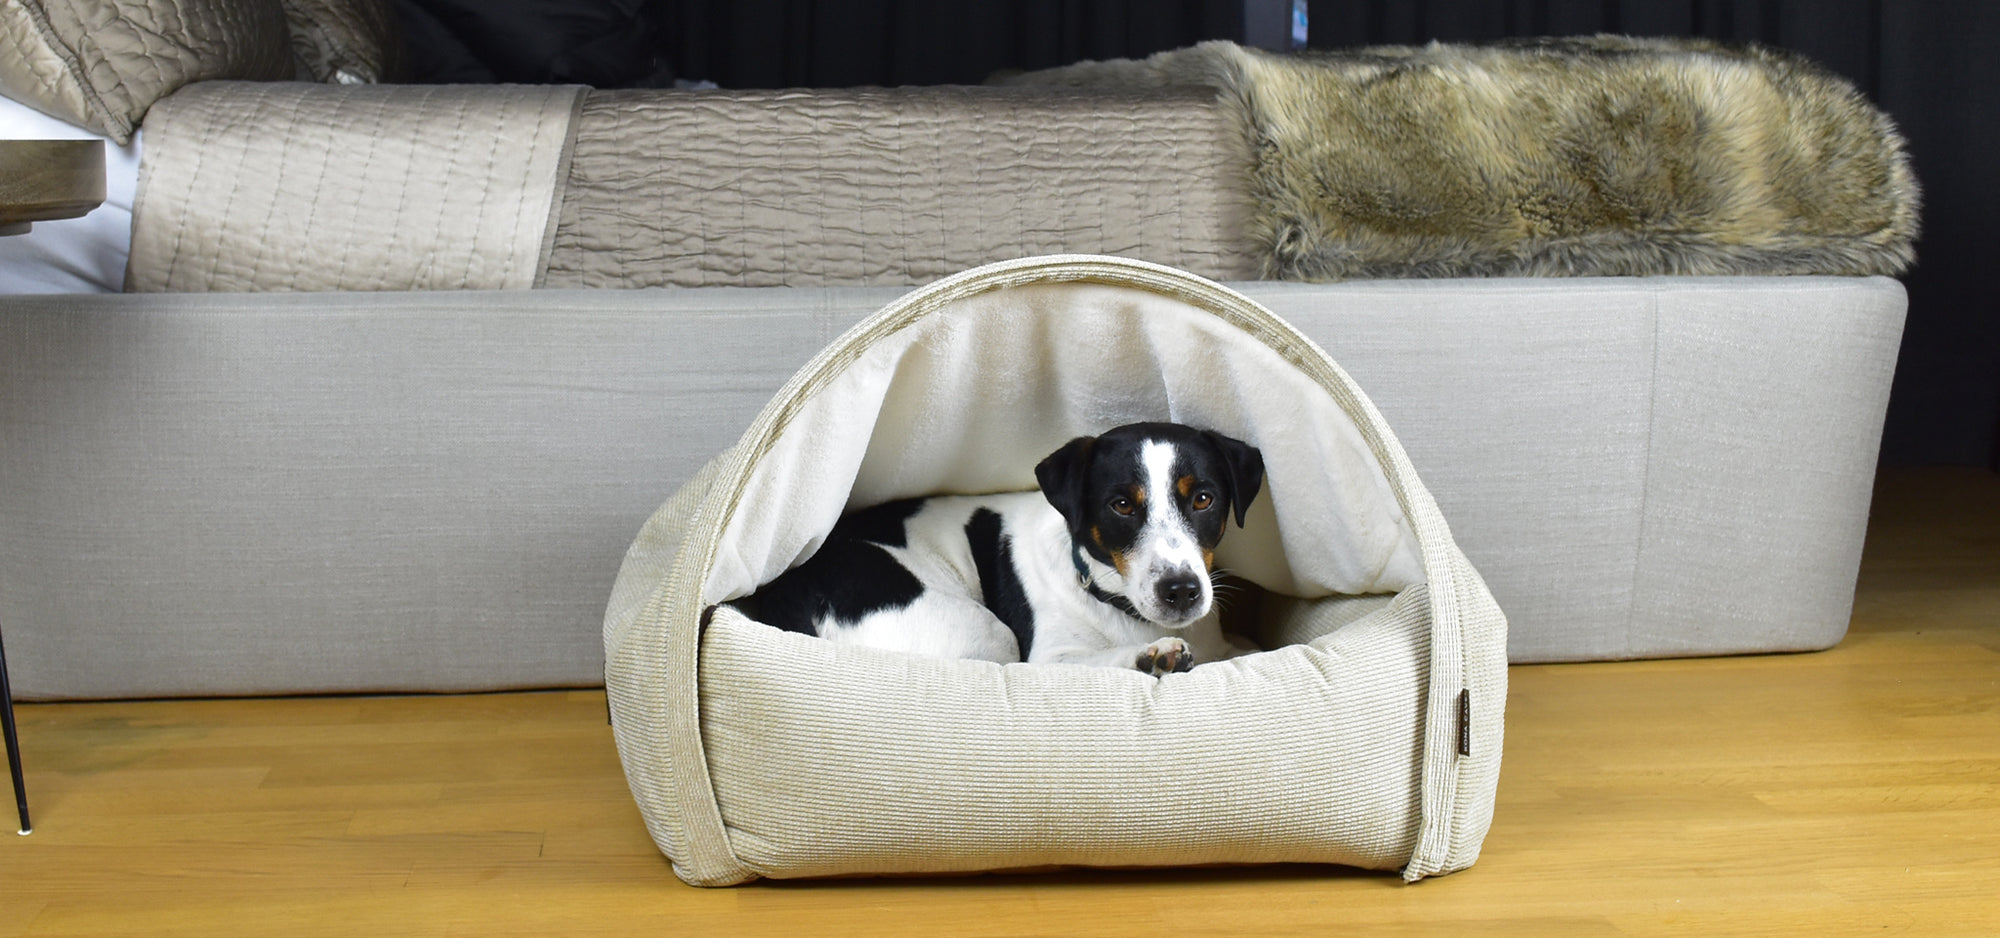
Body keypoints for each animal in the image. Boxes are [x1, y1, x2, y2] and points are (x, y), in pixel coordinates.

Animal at [752, 422, 1264, 672]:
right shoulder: (1048, 657)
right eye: (1121, 505)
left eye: (1203, 499)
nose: (1181, 591)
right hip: (985, 633)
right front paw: (1149, 656)